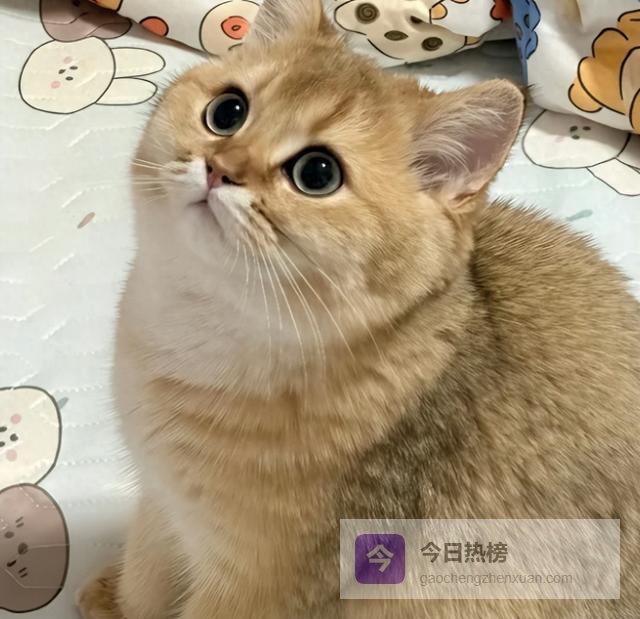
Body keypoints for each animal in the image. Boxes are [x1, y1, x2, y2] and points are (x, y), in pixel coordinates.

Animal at [77, 0, 640, 617]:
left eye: (317, 173)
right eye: (227, 111)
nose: (219, 167)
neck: (201, 333)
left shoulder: (260, 585)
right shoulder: (162, 503)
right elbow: (146, 575)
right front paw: (114, 600)